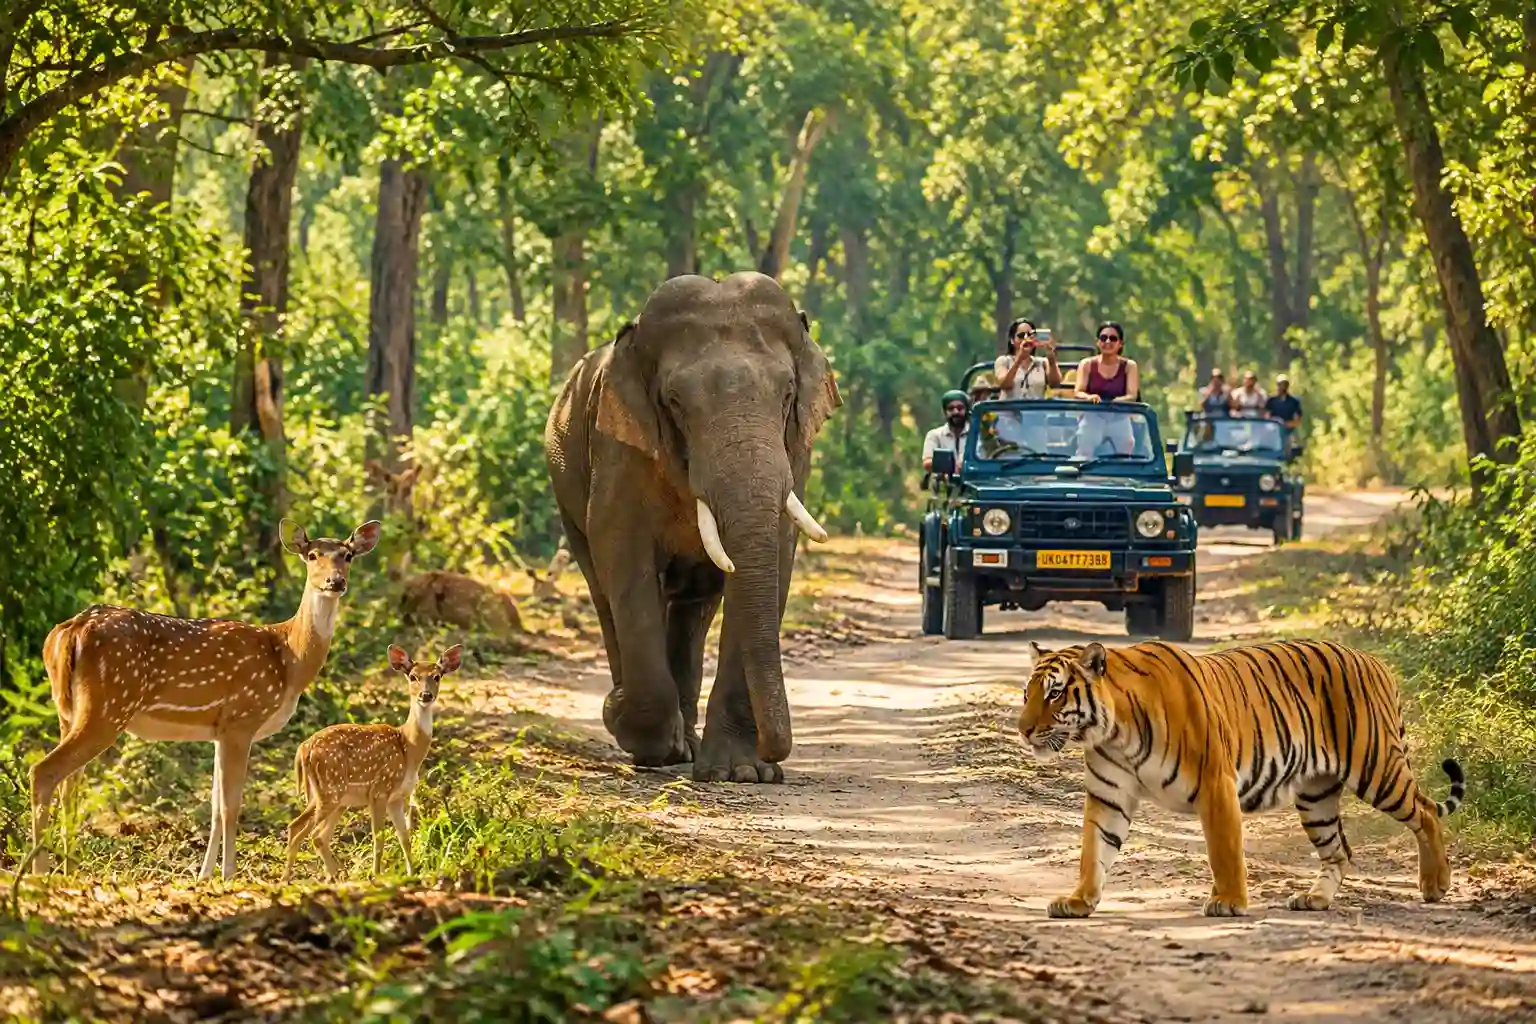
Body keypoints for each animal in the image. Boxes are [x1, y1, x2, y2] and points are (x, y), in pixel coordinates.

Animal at [1017, 638, 1465, 919]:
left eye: (1055, 693)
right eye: (1027, 694)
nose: (1022, 730)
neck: (1113, 732)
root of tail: (1375, 662)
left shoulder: (1215, 784)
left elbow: (1224, 851)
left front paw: (1229, 902)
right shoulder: (1109, 796)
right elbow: (1093, 851)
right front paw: (1078, 901)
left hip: (1377, 769)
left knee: (1426, 813)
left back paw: (1435, 884)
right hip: (1316, 796)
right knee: (1340, 851)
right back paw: (1314, 899)